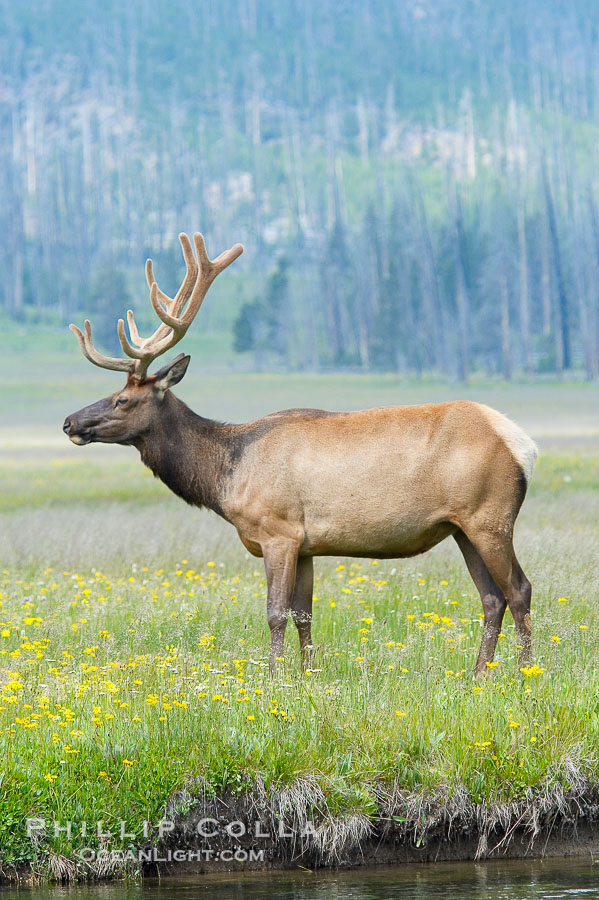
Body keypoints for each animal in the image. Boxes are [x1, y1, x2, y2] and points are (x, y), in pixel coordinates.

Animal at [64, 232, 538, 678]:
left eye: (123, 400)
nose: (69, 422)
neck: (226, 474)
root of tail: (522, 445)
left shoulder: (278, 530)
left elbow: (275, 613)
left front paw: (274, 676)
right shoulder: (306, 544)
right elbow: (304, 614)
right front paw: (309, 673)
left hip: (491, 517)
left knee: (519, 589)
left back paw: (524, 672)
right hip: (462, 527)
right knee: (491, 597)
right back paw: (479, 673)